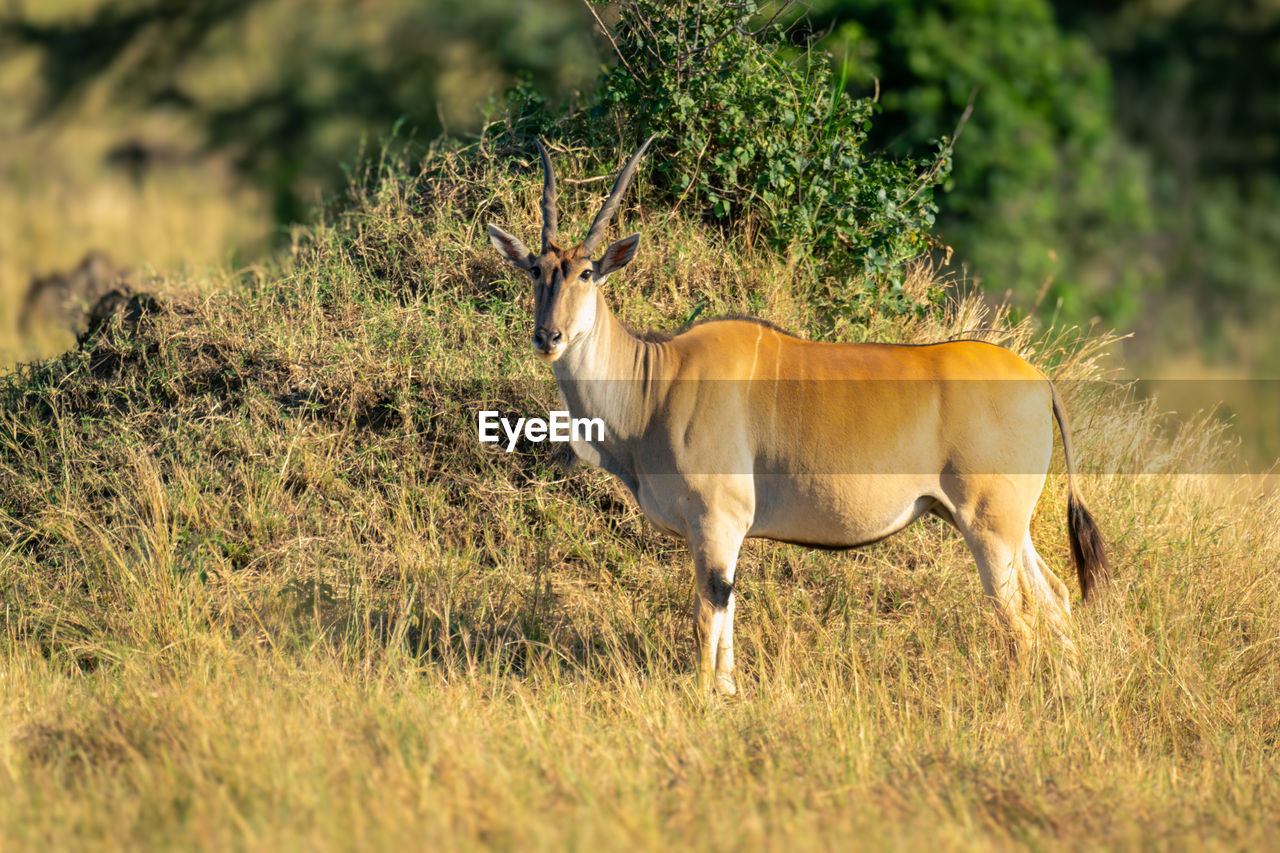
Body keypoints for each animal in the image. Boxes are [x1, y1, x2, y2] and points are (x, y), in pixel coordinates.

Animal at [483, 137, 1105, 691]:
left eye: (587, 273)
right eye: (536, 270)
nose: (548, 336)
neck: (657, 380)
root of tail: (1040, 381)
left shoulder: (716, 524)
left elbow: (707, 616)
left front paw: (706, 697)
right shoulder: (715, 536)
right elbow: (724, 614)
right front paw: (728, 692)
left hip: (988, 527)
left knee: (1018, 621)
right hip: (1008, 528)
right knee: (1056, 600)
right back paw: (1073, 696)